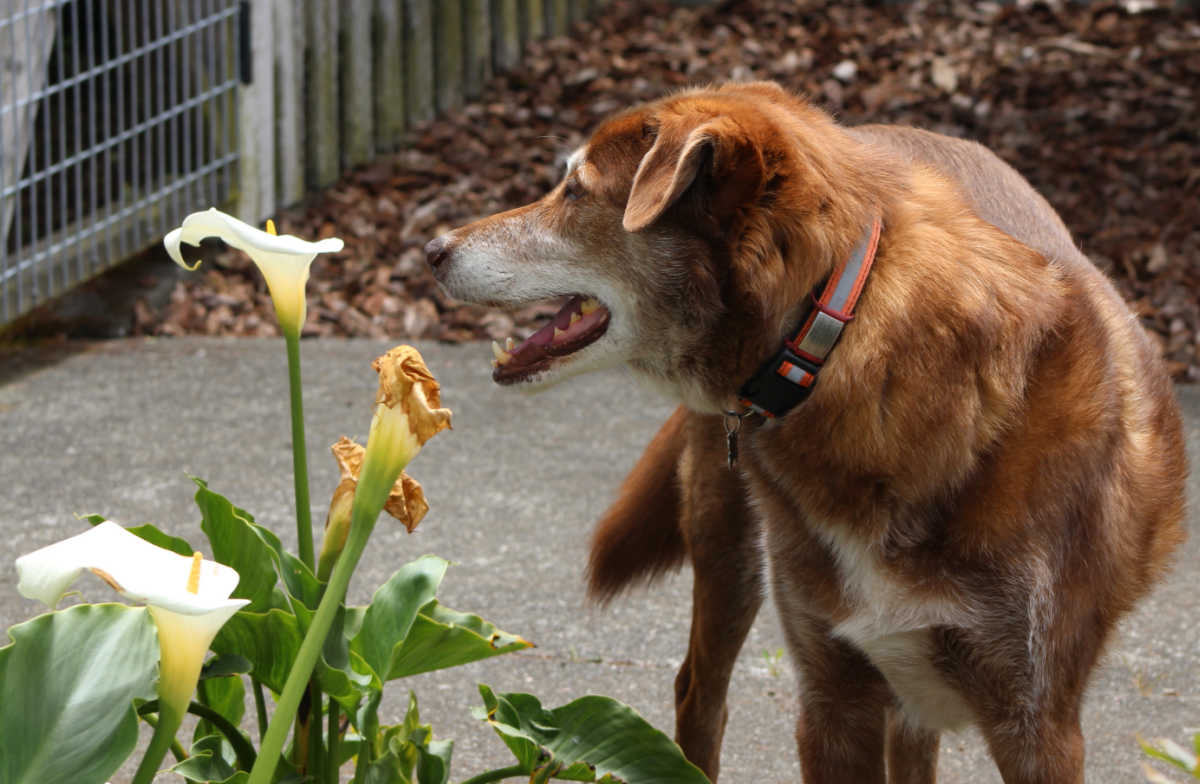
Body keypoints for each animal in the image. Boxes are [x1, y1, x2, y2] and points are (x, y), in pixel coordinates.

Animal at [427, 82, 1185, 777]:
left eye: (575, 191)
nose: (432, 248)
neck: (842, 333)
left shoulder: (1037, 724)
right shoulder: (831, 697)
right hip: (731, 548)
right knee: (698, 695)